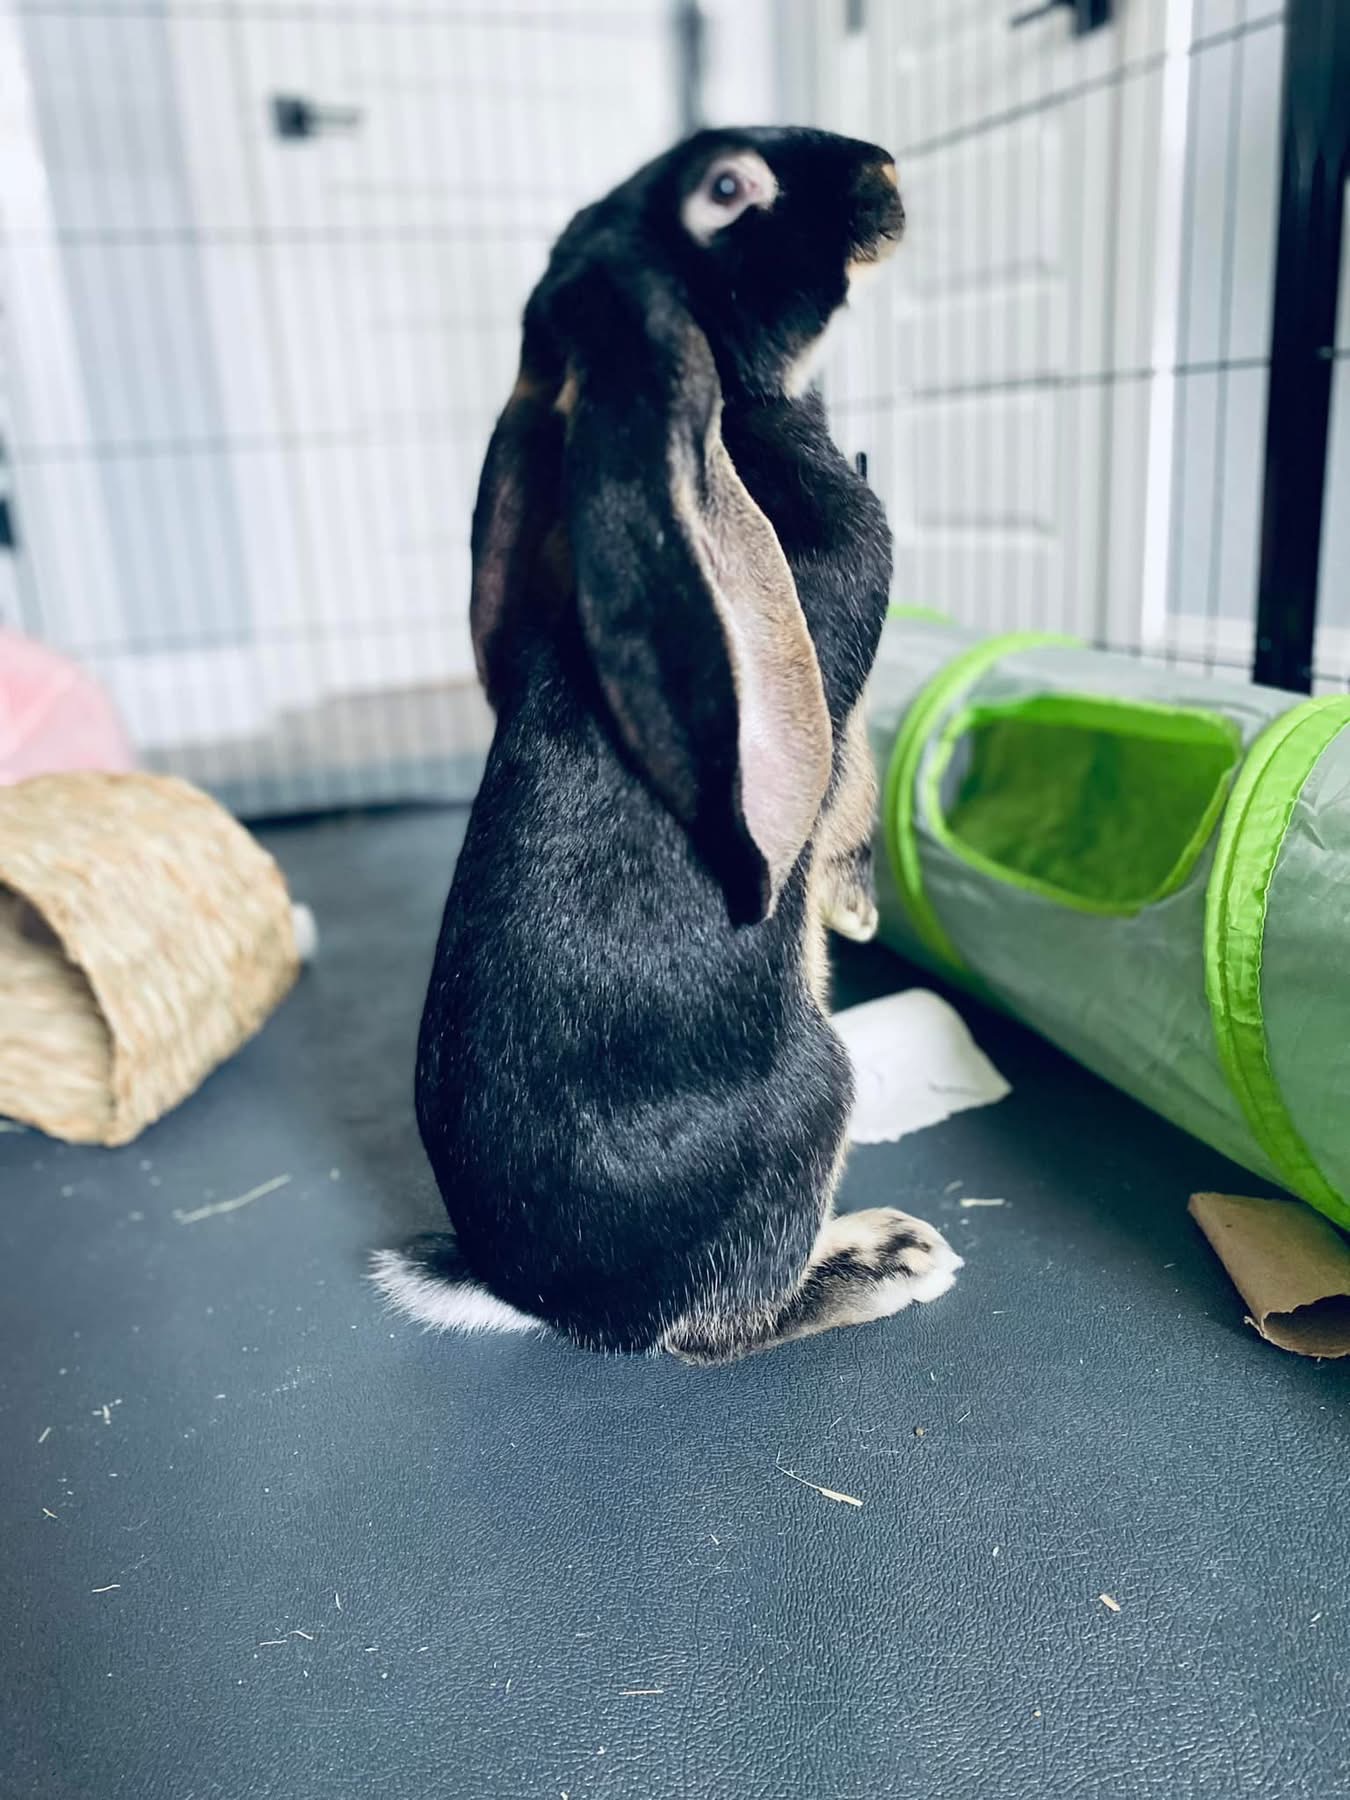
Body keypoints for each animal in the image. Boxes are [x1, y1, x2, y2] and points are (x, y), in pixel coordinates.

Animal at [371, 127, 961, 1361]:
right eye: (729, 188)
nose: (882, 168)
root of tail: (543, 1299)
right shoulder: (839, 697)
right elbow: (846, 787)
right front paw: (856, 905)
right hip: (814, 1094)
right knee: (722, 1324)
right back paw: (886, 1256)